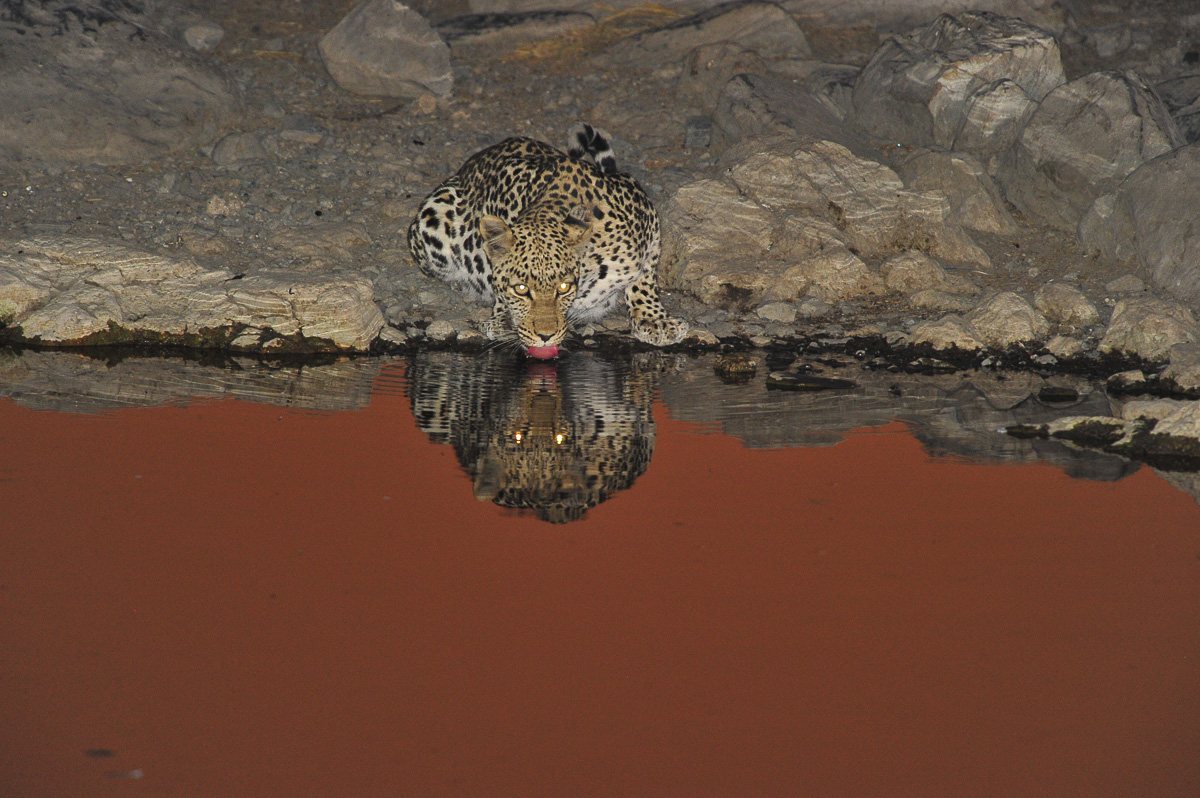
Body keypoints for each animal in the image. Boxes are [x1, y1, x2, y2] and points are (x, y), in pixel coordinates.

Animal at [406, 123, 688, 359]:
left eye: (563, 287)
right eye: (520, 289)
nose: (545, 336)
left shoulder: (646, 213)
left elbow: (645, 275)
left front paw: (655, 320)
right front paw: (502, 318)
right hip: (431, 221)